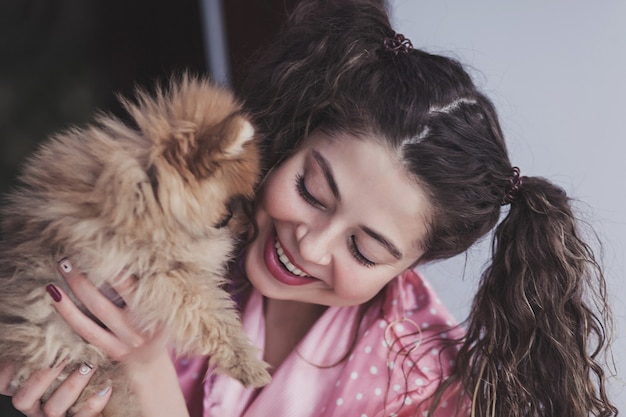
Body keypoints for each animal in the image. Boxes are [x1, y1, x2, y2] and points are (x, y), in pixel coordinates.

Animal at [0, 73, 270, 414]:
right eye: (230, 210)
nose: (250, 228)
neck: (146, 192)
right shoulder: (160, 272)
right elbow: (210, 314)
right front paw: (246, 361)